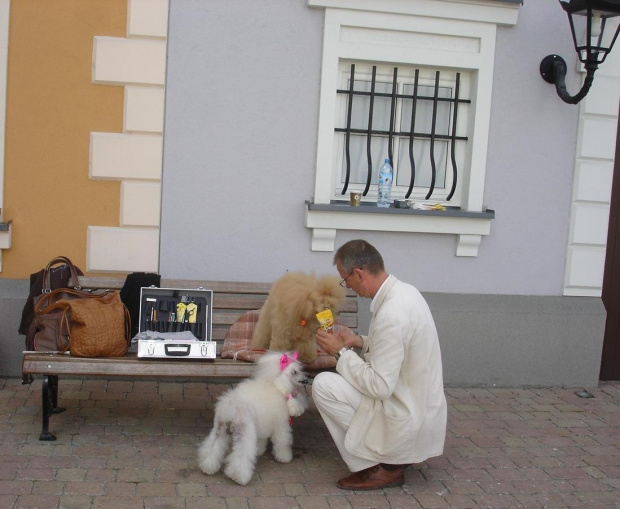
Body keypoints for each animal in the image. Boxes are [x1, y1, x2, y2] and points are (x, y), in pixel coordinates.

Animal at [196, 350, 308, 484]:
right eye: (294, 372)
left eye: (300, 369)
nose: (307, 378)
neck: (277, 385)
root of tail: (230, 409)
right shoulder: (281, 425)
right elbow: (283, 442)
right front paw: (284, 457)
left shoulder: (263, 424)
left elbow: (261, 439)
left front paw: (259, 451)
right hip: (244, 432)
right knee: (241, 456)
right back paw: (239, 476)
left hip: (219, 431)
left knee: (212, 448)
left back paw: (207, 467)